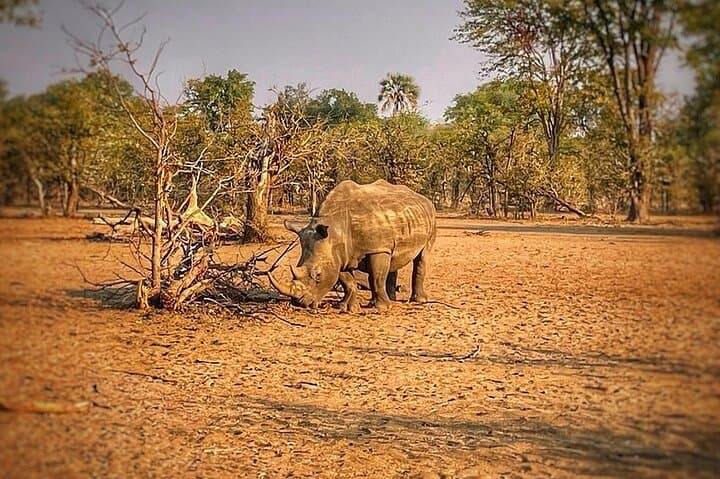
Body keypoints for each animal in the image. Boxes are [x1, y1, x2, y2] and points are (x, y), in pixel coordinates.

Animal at [268, 180, 436, 311]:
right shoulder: (339, 255)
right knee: (392, 258)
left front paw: (381, 308)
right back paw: (391, 299)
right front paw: (346, 307)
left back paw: (417, 301)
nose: (299, 303)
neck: (335, 229)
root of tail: (424, 199)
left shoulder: (376, 249)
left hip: (431, 217)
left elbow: (376, 277)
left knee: (422, 257)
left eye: (318, 275)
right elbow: (347, 281)